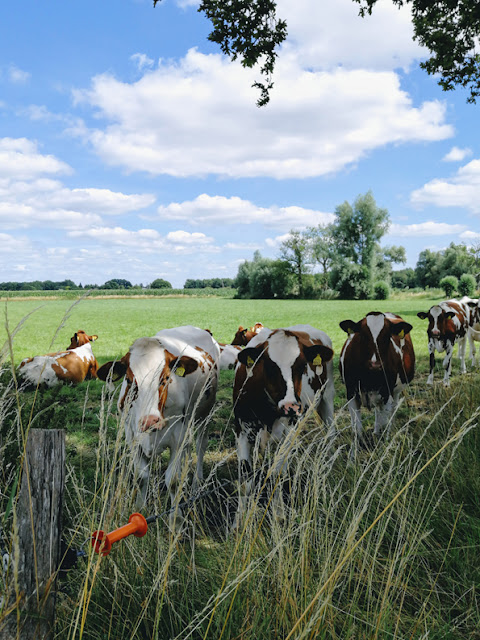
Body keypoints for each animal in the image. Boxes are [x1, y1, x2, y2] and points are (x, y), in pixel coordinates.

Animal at [96, 324, 220, 528]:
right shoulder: (132, 437)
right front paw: (140, 508)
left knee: (200, 445)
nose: (150, 421)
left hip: (205, 415)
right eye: (129, 380)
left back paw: (197, 482)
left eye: (166, 378)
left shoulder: (177, 437)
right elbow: (140, 476)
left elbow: (173, 480)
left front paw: (176, 519)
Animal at [232, 324, 334, 528]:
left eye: (302, 365)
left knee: (330, 433)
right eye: (269, 365)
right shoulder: (241, 429)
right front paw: (239, 522)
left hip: (327, 397)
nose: (291, 406)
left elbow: (276, 474)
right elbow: (245, 480)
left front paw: (279, 515)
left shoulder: (288, 431)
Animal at [340, 312, 414, 450]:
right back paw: (375, 431)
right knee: (377, 410)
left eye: (387, 336)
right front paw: (355, 451)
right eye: (363, 335)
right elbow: (357, 429)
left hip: (395, 391)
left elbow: (384, 422)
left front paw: (383, 445)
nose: (376, 364)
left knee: (392, 410)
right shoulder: (351, 392)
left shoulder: (386, 392)